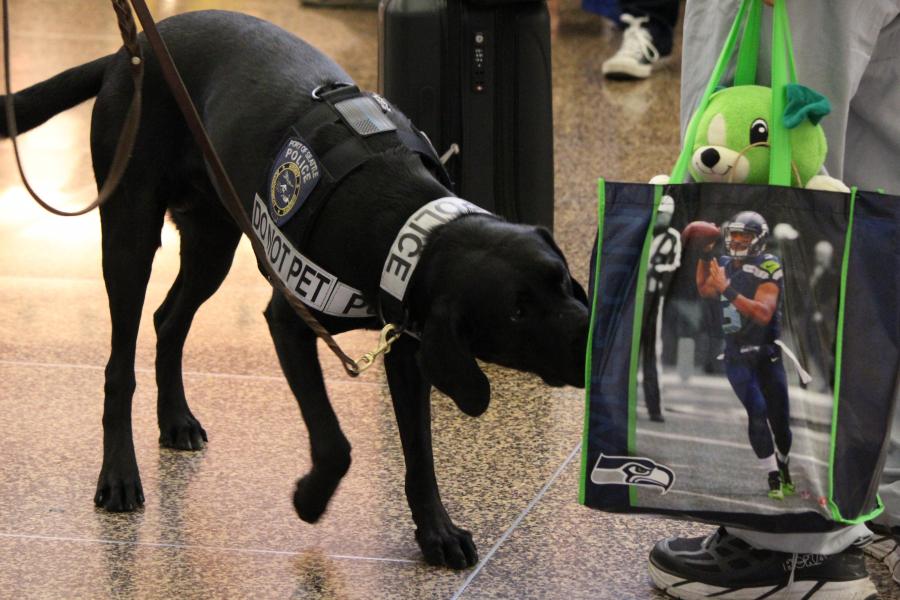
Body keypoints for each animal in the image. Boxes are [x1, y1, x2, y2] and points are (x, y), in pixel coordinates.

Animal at [0, 11, 588, 568]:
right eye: (516, 312)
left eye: (562, 279)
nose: (596, 345)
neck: (404, 222)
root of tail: (136, 49)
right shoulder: (288, 323)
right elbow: (335, 444)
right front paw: (311, 499)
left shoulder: (409, 342)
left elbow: (420, 455)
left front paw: (436, 534)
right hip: (130, 233)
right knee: (120, 366)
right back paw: (120, 474)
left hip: (213, 240)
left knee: (169, 320)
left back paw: (176, 420)